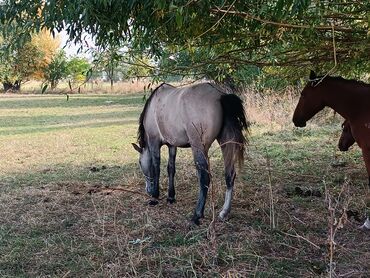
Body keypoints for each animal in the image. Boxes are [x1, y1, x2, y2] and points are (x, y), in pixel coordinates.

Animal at [131, 83, 249, 226]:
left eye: (139, 162)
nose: (147, 190)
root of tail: (220, 95)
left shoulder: (154, 142)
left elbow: (156, 168)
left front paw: (155, 197)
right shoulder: (172, 145)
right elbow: (171, 168)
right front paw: (171, 197)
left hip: (199, 147)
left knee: (204, 177)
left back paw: (197, 215)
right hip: (226, 143)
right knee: (229, 175)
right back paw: (224, 212)